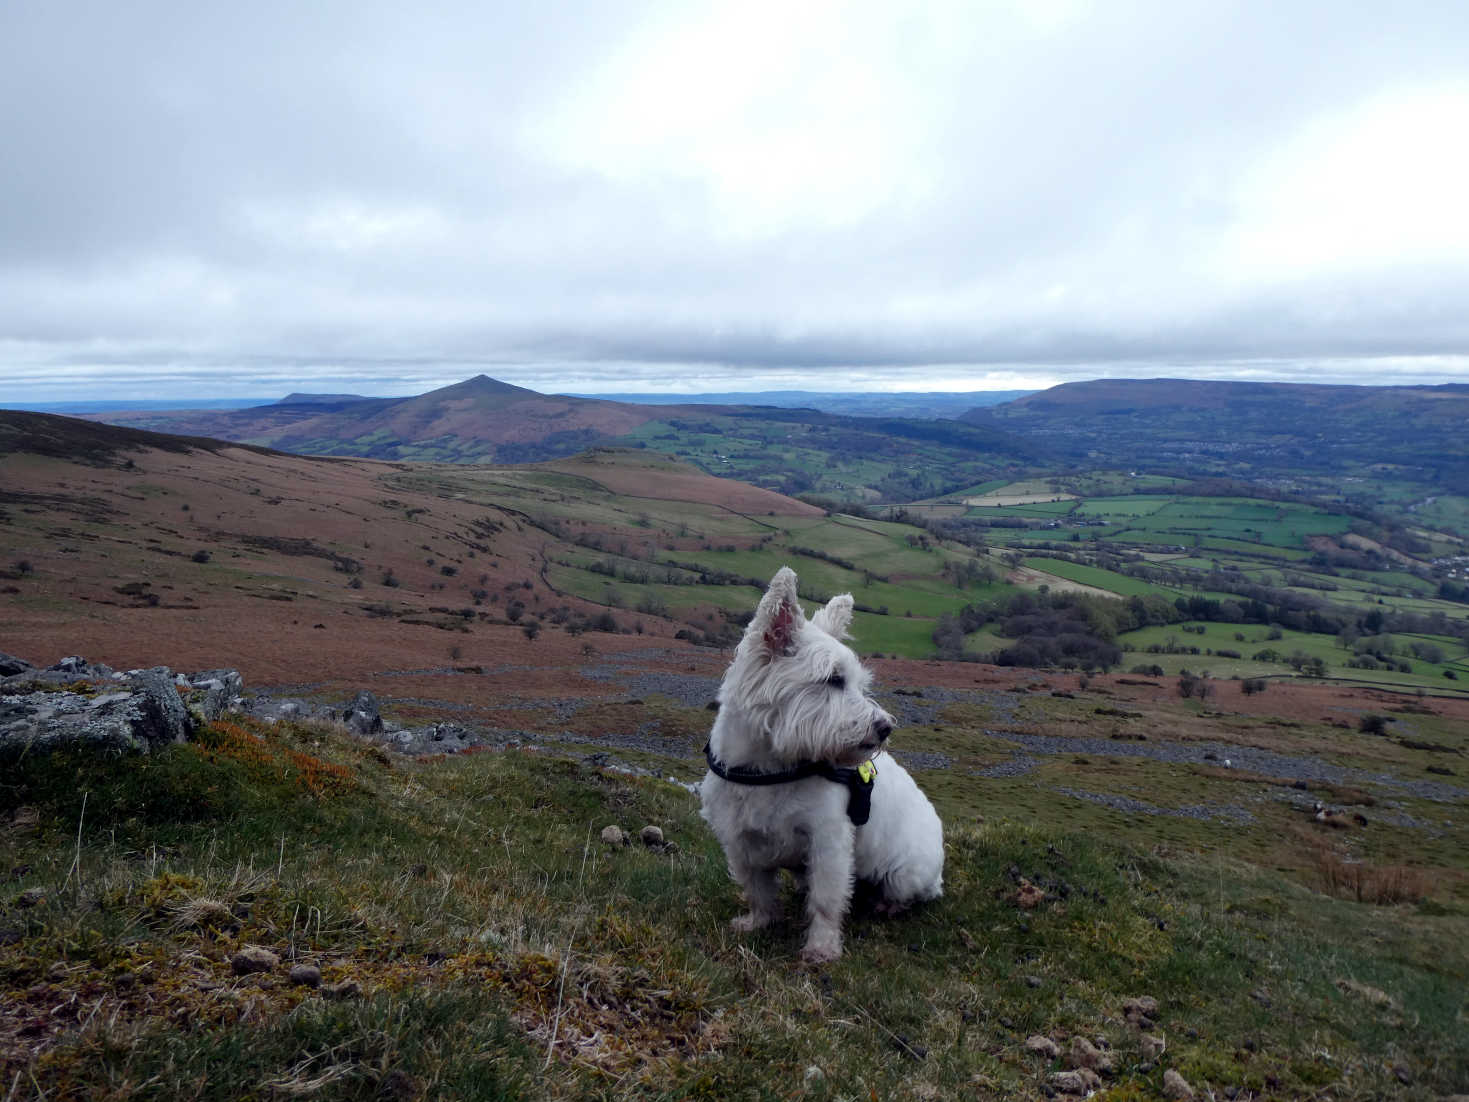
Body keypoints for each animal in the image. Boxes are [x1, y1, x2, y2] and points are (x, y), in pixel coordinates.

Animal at [696, 564, 940, 963]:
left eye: (857, 683)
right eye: (834, 679)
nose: (885, 727)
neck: (772, 766)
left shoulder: (828, 840)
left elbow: (826, 899)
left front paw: (821, 948)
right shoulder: (740, 839)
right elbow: (758, 890)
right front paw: (758, 922)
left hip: (907, 871)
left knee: (907, 893)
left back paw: (886, 905)